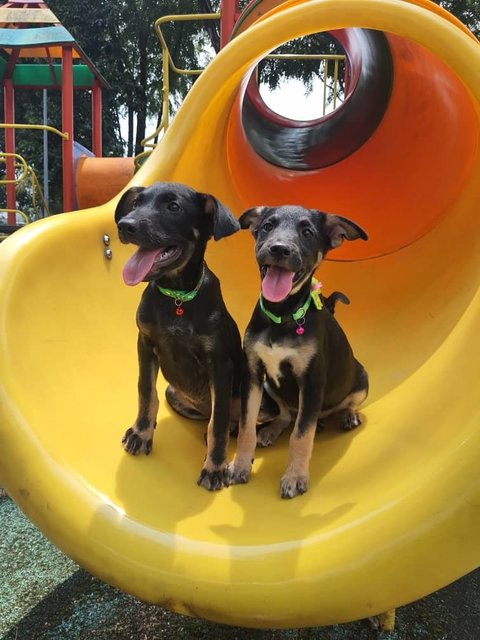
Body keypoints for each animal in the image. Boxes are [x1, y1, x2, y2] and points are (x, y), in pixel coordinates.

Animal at [115, 180, 244, 490]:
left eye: (173, 207)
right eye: (136, 204)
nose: (125, 226)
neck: (177, 297)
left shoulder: (219, 365)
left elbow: (218, 422)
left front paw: (215, 466)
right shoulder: (145, 343)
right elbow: (146, 391)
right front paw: (142, 432)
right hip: (174, 393)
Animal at [227, 205, 370, 500]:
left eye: (307, 232)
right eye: (268, 226)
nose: (279, 249)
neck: (281, 316)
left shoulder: (312, 382)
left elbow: (302, 435)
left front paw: (294, 477)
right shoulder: (253, 375)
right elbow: (246, 426)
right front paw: (240, 465)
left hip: (362, 378)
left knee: (340, 405)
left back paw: (347, 415)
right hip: (271, 386)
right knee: (285, 415)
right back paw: (271, 431)